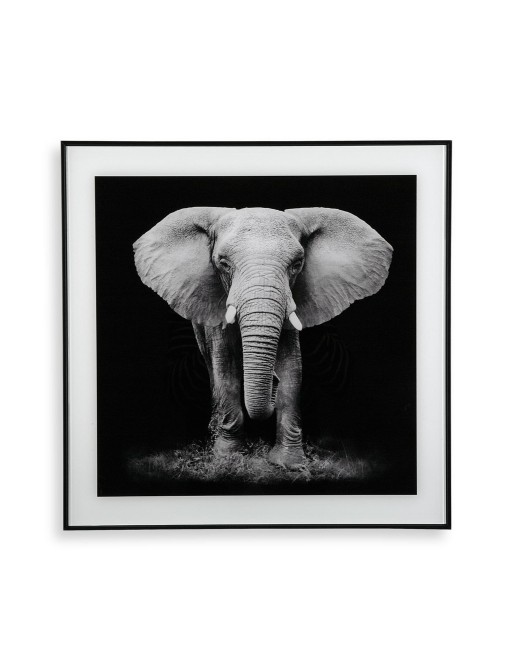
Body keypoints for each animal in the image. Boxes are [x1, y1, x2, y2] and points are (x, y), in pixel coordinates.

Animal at [133, 206, 393, 467]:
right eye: (223, 263)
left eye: (297, 264)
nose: (272, 381)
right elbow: (225, 367)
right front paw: (228, 457)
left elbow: (292, 368)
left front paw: (289, 463)